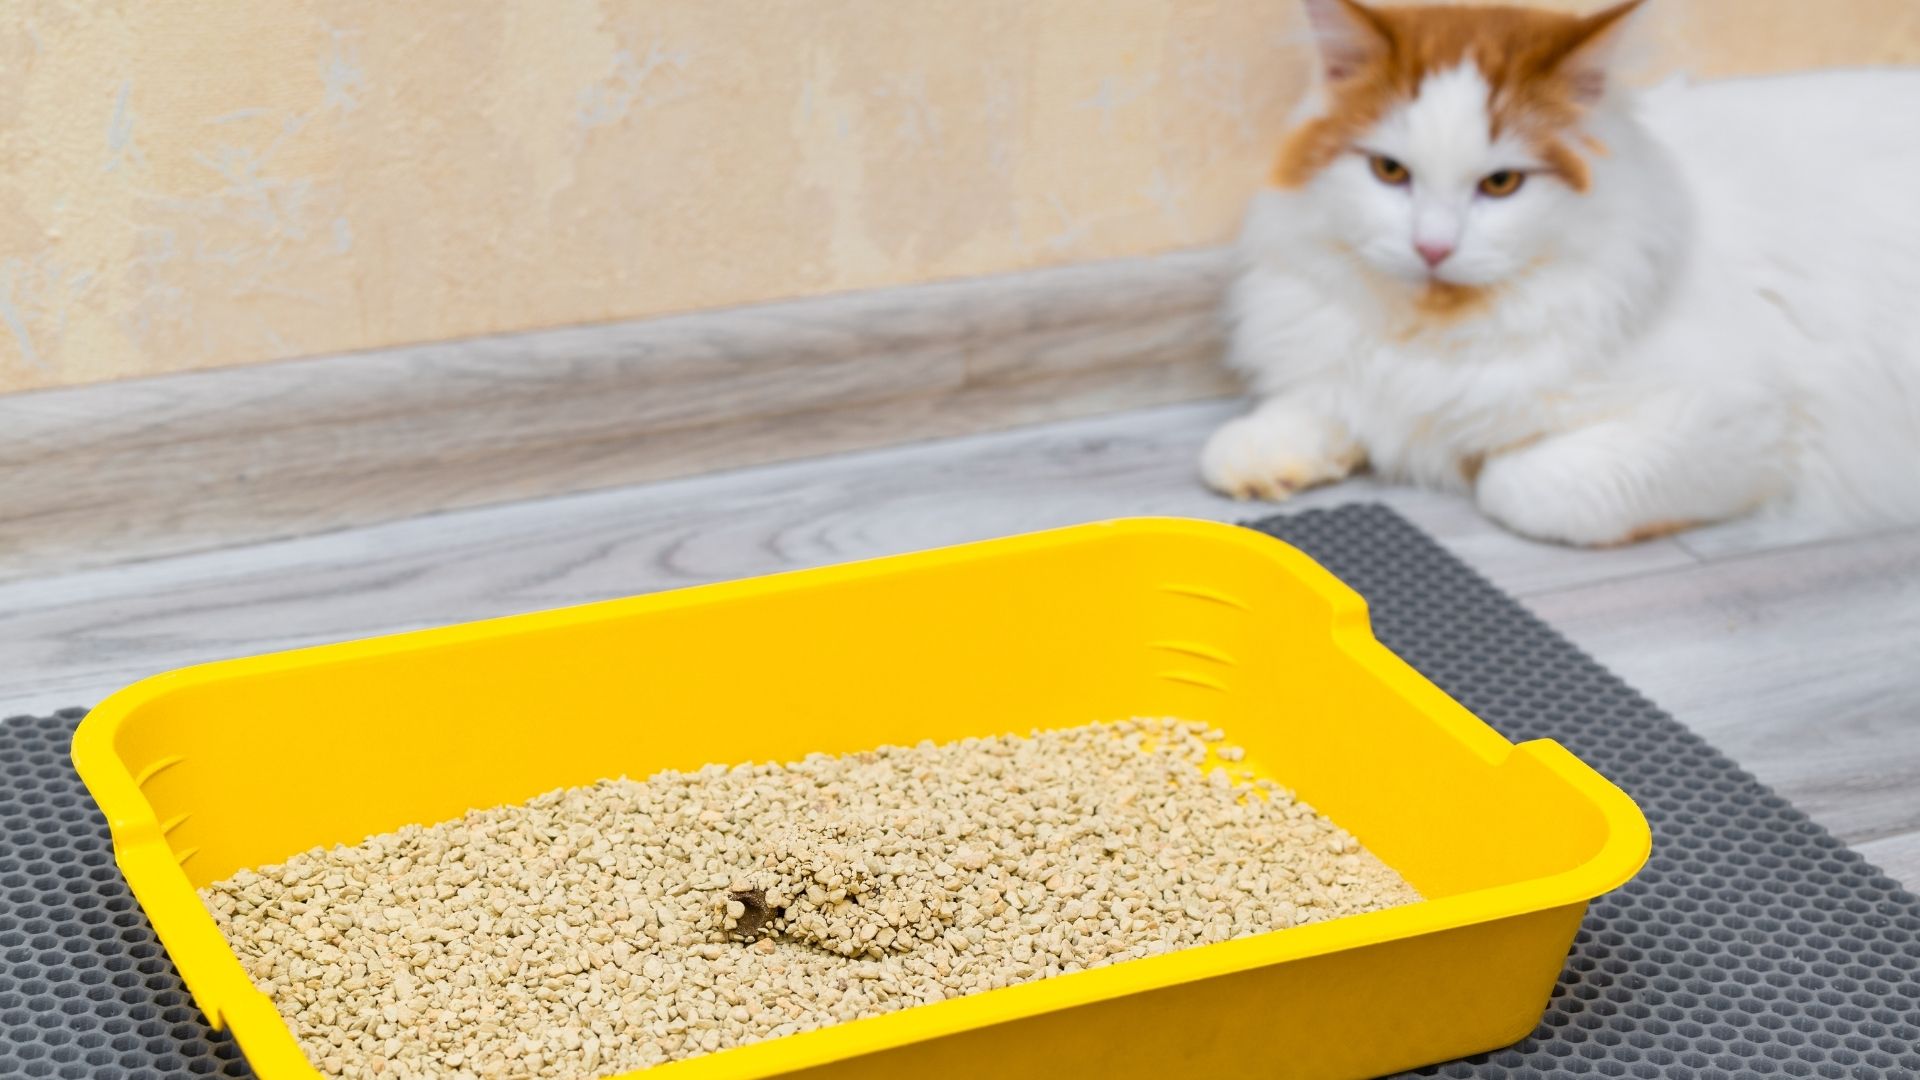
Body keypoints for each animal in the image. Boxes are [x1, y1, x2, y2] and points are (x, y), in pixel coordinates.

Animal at [1205, 0, 1920, 538]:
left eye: (1501, 184)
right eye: (1389, 172)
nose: (1432, 248)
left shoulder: (1739, 421)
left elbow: (1514, 481)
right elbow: (1300, 411)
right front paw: (1267, 456)